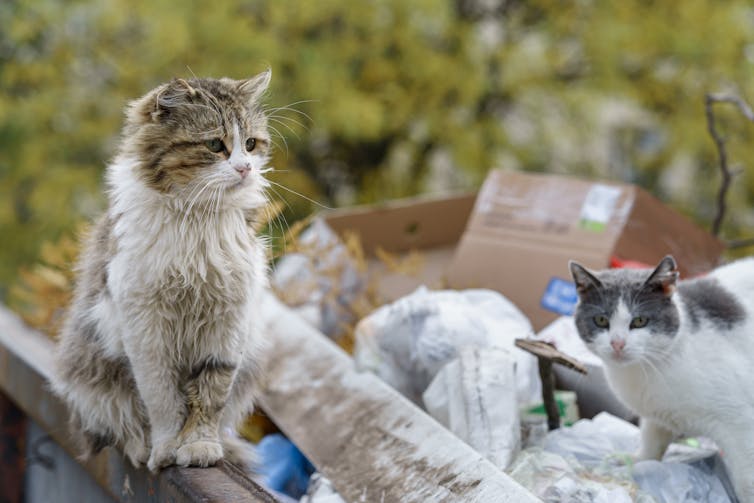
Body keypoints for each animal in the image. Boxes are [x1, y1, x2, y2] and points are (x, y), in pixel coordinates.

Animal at [50, 70, 274, 472]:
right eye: (215, 145)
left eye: (250, 144)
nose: (245, 168)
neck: (197, 219)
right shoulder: (147, 331)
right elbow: (163, 401)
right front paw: (167, 449)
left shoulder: (226, 326)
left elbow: (209, 398)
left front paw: (200, 448)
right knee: (120, 426)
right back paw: (141, 447)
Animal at [568, 258, 752, 502]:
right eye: (600, 320)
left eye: (639, 321)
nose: (617, 344)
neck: (645, 371)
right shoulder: (656, 412)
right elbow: (652, 437)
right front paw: (638, 461)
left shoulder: (740, 423)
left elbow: (746, 481)